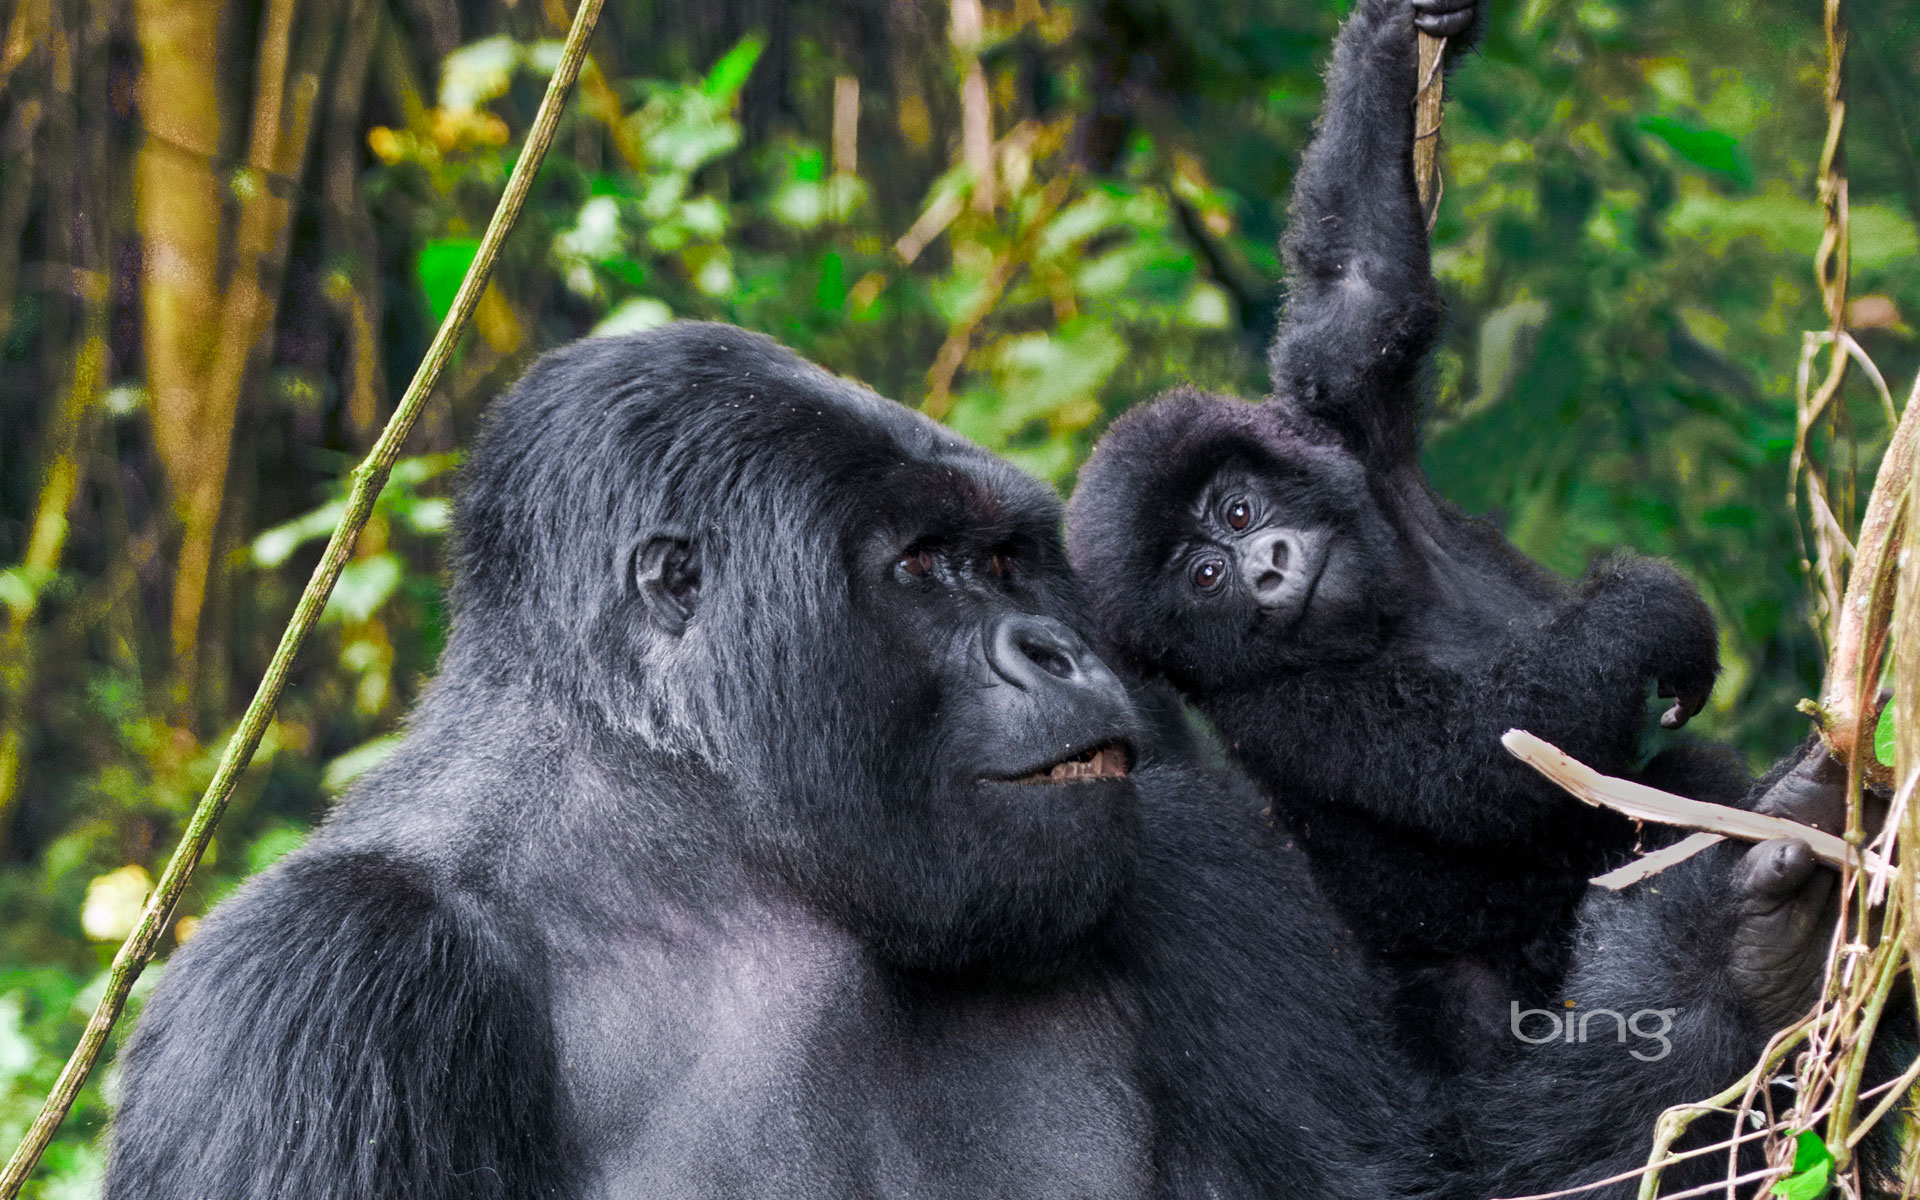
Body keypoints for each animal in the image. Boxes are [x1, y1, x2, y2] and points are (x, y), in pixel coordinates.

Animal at [1067, 0, 1743, 1059]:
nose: (1267, 568)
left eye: (1237, 511)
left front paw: (1402, 34)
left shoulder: (1341, 428)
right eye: (1204, 580)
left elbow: (1363, 296)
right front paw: (1650, 614)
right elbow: (1479, 758)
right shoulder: (1280, 706)